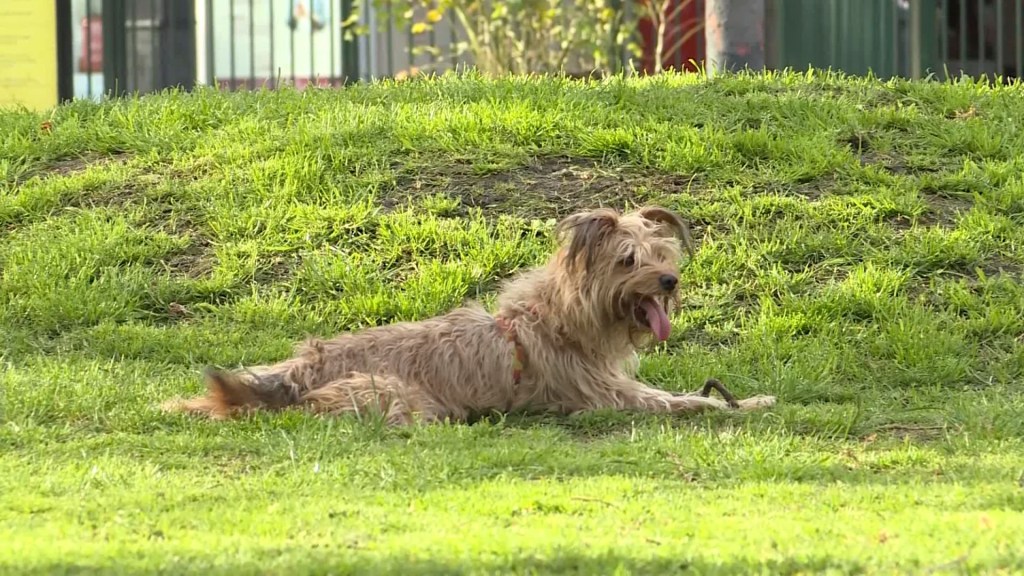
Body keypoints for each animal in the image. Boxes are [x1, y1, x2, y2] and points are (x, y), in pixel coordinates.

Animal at [161, 204, 774, 422]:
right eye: (628, 260)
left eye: (664, 255)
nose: (670, 281)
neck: (558, 318)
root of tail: (301, 369)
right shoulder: (606, 395)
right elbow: (683, 401)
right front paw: (745, 404)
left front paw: (743, 398)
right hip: (397, 396)